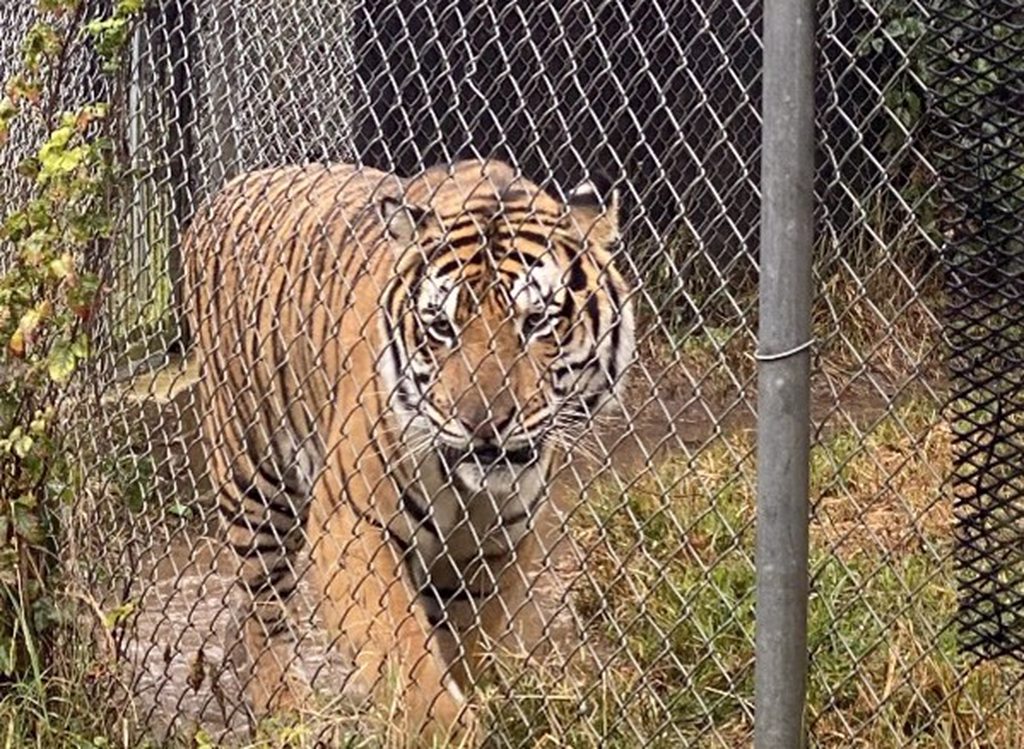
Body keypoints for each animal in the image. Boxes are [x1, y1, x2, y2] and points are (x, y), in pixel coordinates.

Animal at [181, 159, 634, 745]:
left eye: (536, 322)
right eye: (441, 326)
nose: (482, 424)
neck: (470, 490)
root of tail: (230, 189)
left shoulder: (497, 549)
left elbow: (469, 651)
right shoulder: (350, 522)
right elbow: (405, 652)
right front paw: (444, 729)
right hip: (256, 478)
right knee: (263, 605)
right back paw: (286, 711)